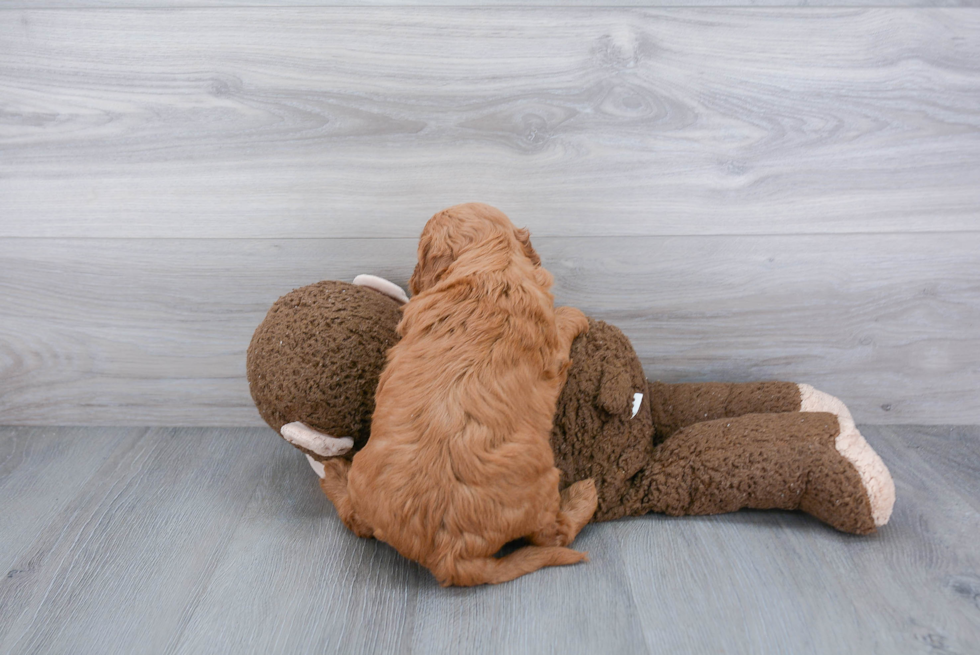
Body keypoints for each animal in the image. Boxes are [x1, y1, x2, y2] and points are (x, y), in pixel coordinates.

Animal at [322, 202, 596, 588]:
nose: (412, 278)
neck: (491, 264)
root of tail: (449, 556)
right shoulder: (554, 348)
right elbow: (563, 322)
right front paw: (575, 314)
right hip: (545, 485)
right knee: (554, 535)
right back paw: (584, 494)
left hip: (364, 480)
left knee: (354, 519)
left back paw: (334, 473)